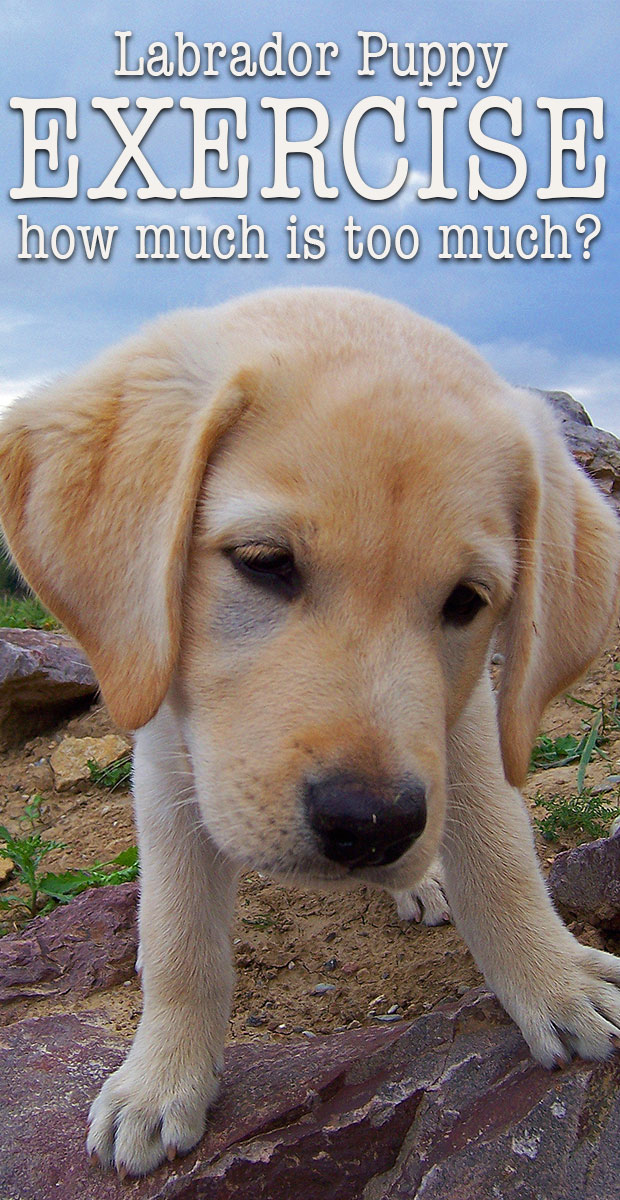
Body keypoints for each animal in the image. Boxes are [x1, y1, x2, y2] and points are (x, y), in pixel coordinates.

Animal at [1, 288, 618, 1171]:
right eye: (264, 561)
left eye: (467, 601)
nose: (373, 826)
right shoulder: (166, 750)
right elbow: (180, 932)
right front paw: (162, 1080)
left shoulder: (465, 720)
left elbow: (501, 855)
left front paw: (554, 978)